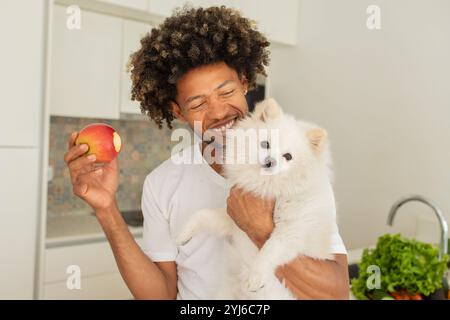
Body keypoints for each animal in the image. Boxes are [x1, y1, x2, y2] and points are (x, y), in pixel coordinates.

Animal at [176, 98, 338, 300]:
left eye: (288, 156)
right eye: (265, 144)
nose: (270, 162)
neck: (267, 186)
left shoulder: (292, 231)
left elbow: (270, 249)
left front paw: (255, 277)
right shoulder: (233, 221)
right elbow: (203, 214)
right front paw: (184, 233)